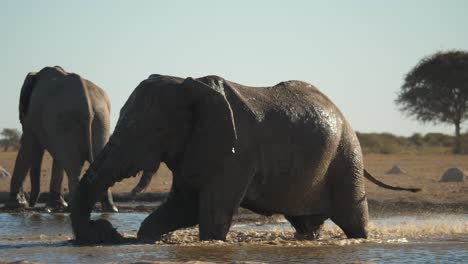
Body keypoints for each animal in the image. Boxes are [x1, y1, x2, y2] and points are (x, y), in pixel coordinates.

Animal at [4, 66, 118, 212]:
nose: (31, 204)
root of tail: (86, 102)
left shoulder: (33, 118)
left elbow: (29, 145)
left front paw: (16, 205)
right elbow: (56, 155)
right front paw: (55, 206)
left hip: (68, 118)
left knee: (73, 167)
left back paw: (74, 209)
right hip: (100, 120)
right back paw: (110, 209)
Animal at [70, 74, 420, 243]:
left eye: (141, 129)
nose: (106, 230)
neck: (190, 85)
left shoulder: (235, 153)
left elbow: (210, 214)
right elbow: (182, 206)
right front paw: (146, 238)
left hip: (346, 156)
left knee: (353, 220)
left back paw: (360, 240)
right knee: (306, 223)